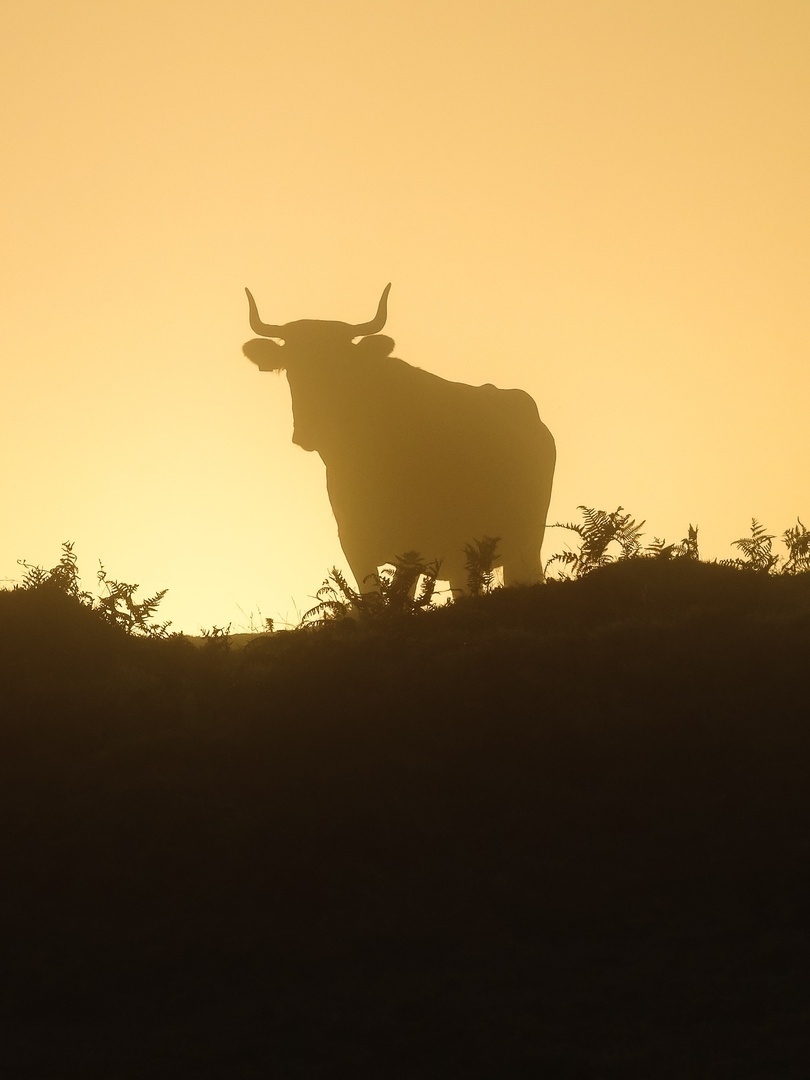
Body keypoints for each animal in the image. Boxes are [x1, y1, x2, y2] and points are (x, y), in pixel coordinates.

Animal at [240, 282, 557, 596]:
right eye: (291, 367)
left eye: (343, 365)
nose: (310, 429)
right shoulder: (354, 543)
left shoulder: (412, 548)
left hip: (522, 547)